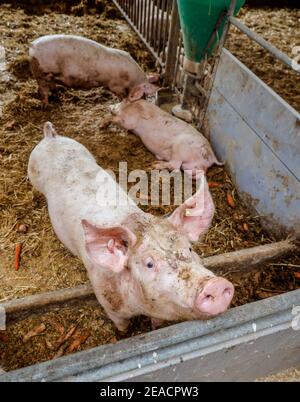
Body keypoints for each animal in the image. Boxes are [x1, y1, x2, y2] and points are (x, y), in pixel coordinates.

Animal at [28, 121, 233, 332]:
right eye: (149, 264)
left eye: (189, 249)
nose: (215, 285)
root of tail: (51, 137)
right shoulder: (109, 304)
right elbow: (122, 325)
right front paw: (124, 334)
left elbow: (157, 322)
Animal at [29, 34, 159, 106]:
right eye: (144, 93)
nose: (144, 101)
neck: (131, 79)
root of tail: (32, 45)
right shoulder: (116, 86)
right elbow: (121, 96)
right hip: (41, 73)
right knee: (42, 90)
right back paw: (46, 105)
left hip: (48, 74)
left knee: (51, 84)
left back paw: (58, 98)